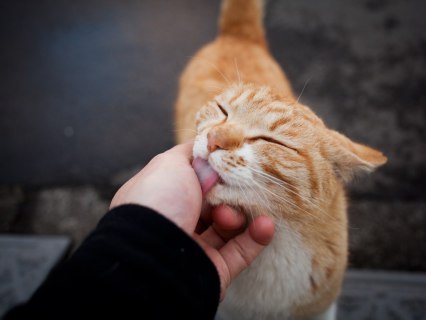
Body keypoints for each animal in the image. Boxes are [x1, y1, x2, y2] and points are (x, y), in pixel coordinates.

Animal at [175, 0, 388, 318]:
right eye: (222, 110)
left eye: (270, 141)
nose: (214, 140)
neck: (278, 243)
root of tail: (239, 35)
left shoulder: (322, 309)